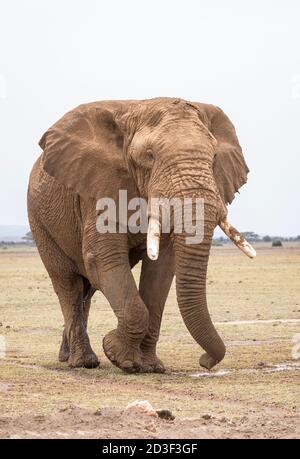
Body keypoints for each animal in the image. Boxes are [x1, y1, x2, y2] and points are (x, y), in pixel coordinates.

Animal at [27, 97, 255, 374]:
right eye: (150, 155)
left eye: (213, 157)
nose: (205, 361)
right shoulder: (98, 189)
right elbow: (103, 260)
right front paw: (119, 356)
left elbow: (161, 269)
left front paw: (150, 366)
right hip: (39, 221)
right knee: (69, 283)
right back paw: (83, 362)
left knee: (87, 289)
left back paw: (67, 356)